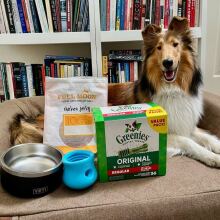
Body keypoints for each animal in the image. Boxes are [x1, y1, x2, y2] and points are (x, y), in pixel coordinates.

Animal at [10, 16, 220, 167]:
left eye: (176, 45)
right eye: (159, 48)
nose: (167, 63)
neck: (171, 89)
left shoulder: (188, 125)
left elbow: (208, 137)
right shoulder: (169, 131)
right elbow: (189, 142)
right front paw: (212, 157)